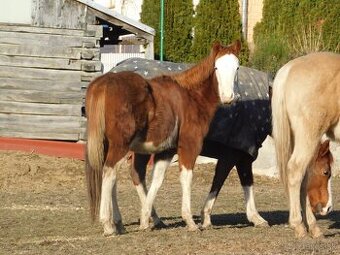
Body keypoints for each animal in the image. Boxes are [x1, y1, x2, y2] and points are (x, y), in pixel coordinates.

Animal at [85, 40, 242, 237]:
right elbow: (186, 178)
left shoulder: (166, 151)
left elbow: (156, 180)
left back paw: (118, 223)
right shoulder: (189, 145)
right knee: (109, 173)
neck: (191, 96)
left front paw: (145, 220)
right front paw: (190, 221)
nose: (228, 97)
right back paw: (107, 224)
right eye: (216, 67)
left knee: (112, 177)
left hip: (110, 146)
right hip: (120, 146)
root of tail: (104, 82)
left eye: (237, 67)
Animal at [270, 52, 340, 239]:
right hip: (309, 135)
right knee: (295, 170)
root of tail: (289, 69)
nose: (328, 208)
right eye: (326, 172)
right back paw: (299, 225)